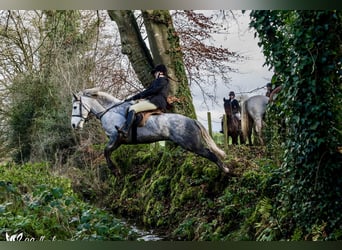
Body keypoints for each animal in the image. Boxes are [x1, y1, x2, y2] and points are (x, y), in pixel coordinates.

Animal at [70, 89, 230, 175]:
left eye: (75, 107)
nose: (73, 125)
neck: (110, 111)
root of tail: (192, 121)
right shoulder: (118, 141)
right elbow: (107, 152)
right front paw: (115, 170)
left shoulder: (115, 137)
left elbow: (105, 151)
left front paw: (114, 170)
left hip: (191, 144)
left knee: (210, 154)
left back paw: (226, 170)